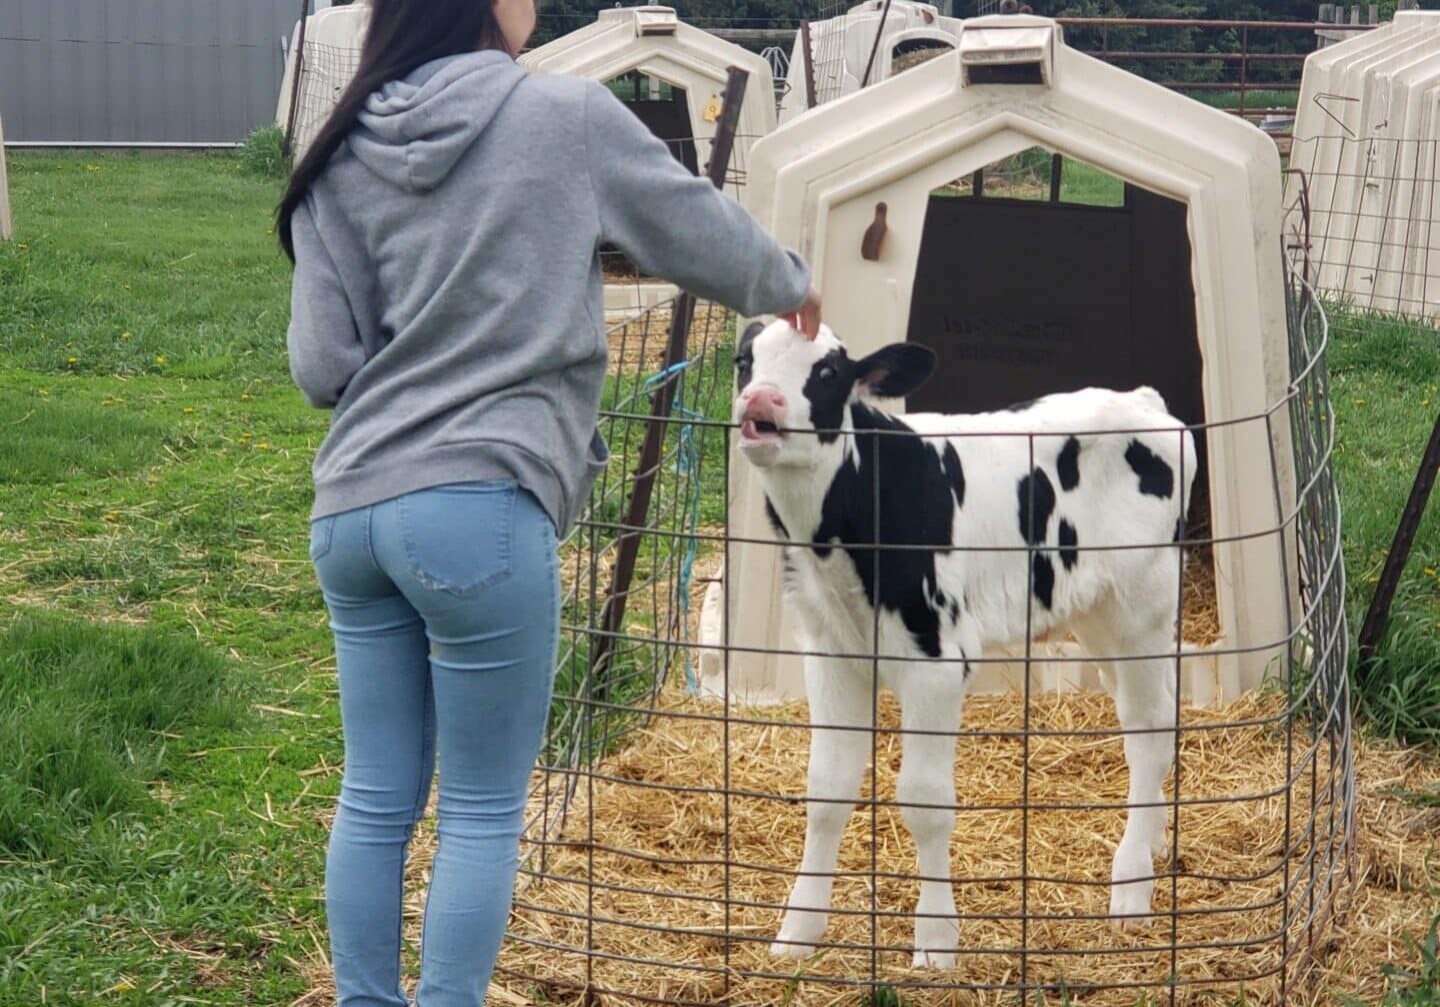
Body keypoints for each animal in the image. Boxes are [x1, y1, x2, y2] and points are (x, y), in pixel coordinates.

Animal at [732, 319, 1198, 967]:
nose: (762, 402)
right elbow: (826, 789)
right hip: (1098, 615)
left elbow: (924, 801)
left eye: (828, 372)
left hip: (1142, 604)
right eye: (744, 362)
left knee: (1149, 732)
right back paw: (1153, 841)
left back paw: (1131, 887)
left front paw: (934, 940)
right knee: (1147, 719)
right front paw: (798, 931)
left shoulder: (935, 662)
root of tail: (1143, 401)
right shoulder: (830, 652)